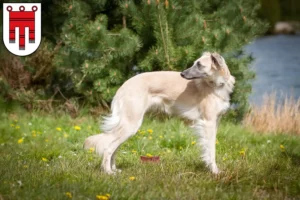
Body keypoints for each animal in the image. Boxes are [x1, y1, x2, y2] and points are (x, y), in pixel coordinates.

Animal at [84, 52, 234, 174]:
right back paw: (108, 172)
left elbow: (209, 149)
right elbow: (211, 150)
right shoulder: (208, 123)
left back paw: (114, 169)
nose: (182, 74)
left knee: (113, 147)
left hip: (127, 125)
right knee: (109, 148)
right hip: (131, 124)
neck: (216, 85)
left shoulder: (215, 122)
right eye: (195, 63)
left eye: (199, 65)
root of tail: (123, 86)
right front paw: (214, 171)